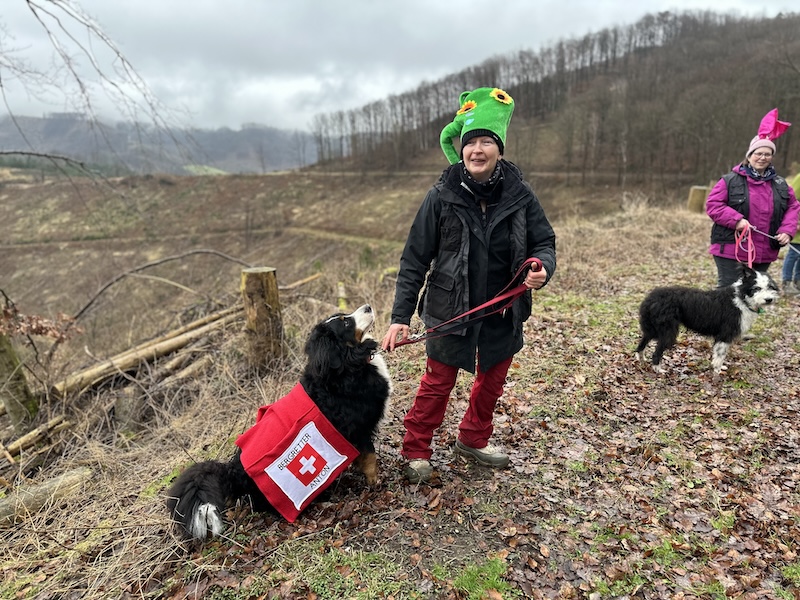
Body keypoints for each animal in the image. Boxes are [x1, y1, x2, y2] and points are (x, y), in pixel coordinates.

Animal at [167, 304, 392, 540]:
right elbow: (370, 459)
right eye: (346, 322)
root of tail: (232, 471)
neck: (347, 364)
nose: (368, 306)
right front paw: (376, 483)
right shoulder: (359, 431)